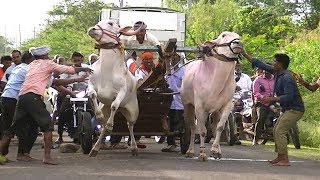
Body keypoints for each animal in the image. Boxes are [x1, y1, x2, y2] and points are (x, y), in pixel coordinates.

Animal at [86, 20, 144, 156]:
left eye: (111, 23)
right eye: (98, 22)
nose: (92, 29)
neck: (107, 70)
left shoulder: (121, 92)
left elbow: (114, 105)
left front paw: (111, 125)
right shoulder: (91, 84)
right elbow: (93, 94)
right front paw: (99, 116)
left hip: (133, 112)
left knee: (130, 126)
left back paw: (134, 148)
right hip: (105, 108)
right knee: (103, 128)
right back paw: (95, 148)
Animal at [180, 31, 242, 161]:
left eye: (238, 36)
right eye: (223, 35)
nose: (238, 43)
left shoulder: (227, 105)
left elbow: (220, 127)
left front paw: (215, 150)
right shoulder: (199, 107)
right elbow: (202, 131)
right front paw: (202, 153)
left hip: (214, 111)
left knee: (213, 126)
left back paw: (216, 150)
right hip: (188, 106)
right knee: (193, 127)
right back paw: (190, 150)